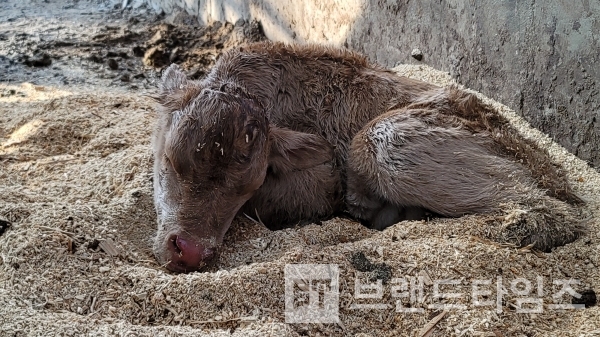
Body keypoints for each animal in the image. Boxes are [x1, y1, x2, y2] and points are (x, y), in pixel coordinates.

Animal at [152, 42, 584, 272]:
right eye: (170, 161)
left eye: (249, 185)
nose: (190, 250)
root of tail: (556, 172)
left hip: (383, 140)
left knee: (550, 212)